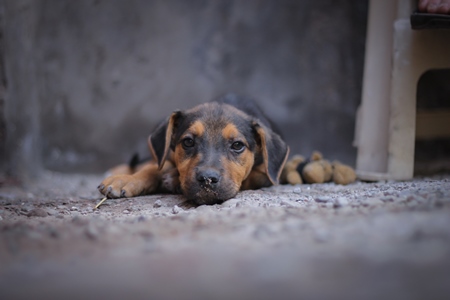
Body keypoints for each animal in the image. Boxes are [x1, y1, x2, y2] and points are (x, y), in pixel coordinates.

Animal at [98, 95, 288, 205]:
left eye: (237, 145)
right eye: (188, 142)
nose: (207, 179)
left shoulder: (266, 174)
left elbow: (248, 178)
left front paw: (173, 178)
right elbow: (153, 167)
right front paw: (125, 180)